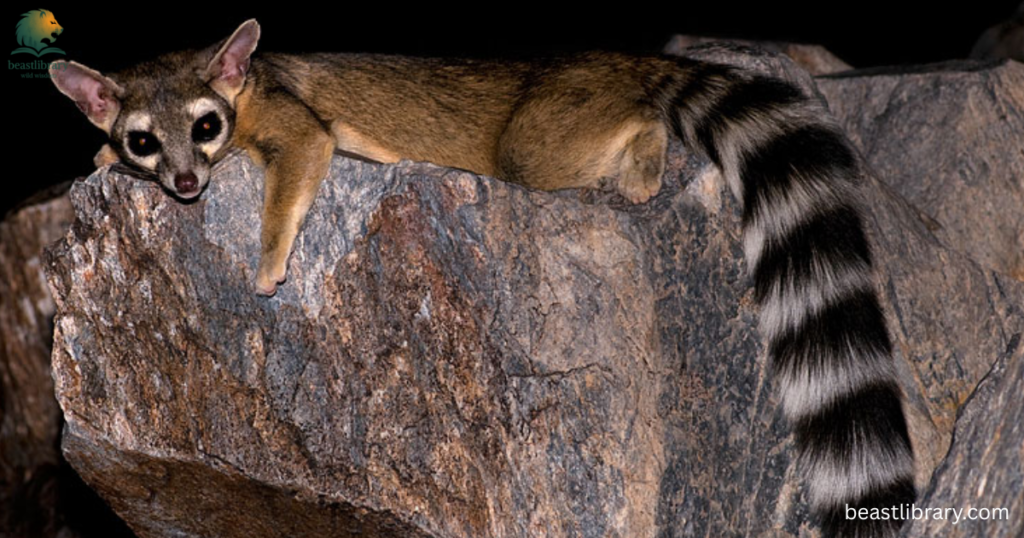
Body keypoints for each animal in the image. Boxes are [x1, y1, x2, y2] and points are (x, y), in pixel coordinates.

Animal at [50, 20, 915, 537]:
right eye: (143, 141)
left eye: (206, 126)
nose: (187, 184)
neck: (238, 80)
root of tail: (625, 57)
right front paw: (96, 155)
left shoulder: (288, 117)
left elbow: (301, 158)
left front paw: (268, 260)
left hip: (545, 131)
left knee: (590, 134)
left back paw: (641, 153)